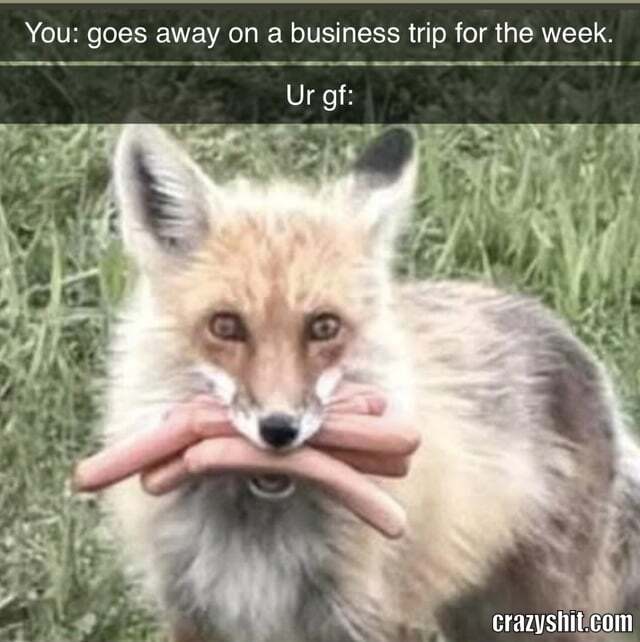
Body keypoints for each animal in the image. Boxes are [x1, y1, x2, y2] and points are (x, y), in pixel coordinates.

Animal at [100, 124, 640, 642]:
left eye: (324, 327)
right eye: (225, 326)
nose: (279, 430)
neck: (255, 535)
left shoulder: (368, 615)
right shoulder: (190, 613)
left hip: (548, 607)